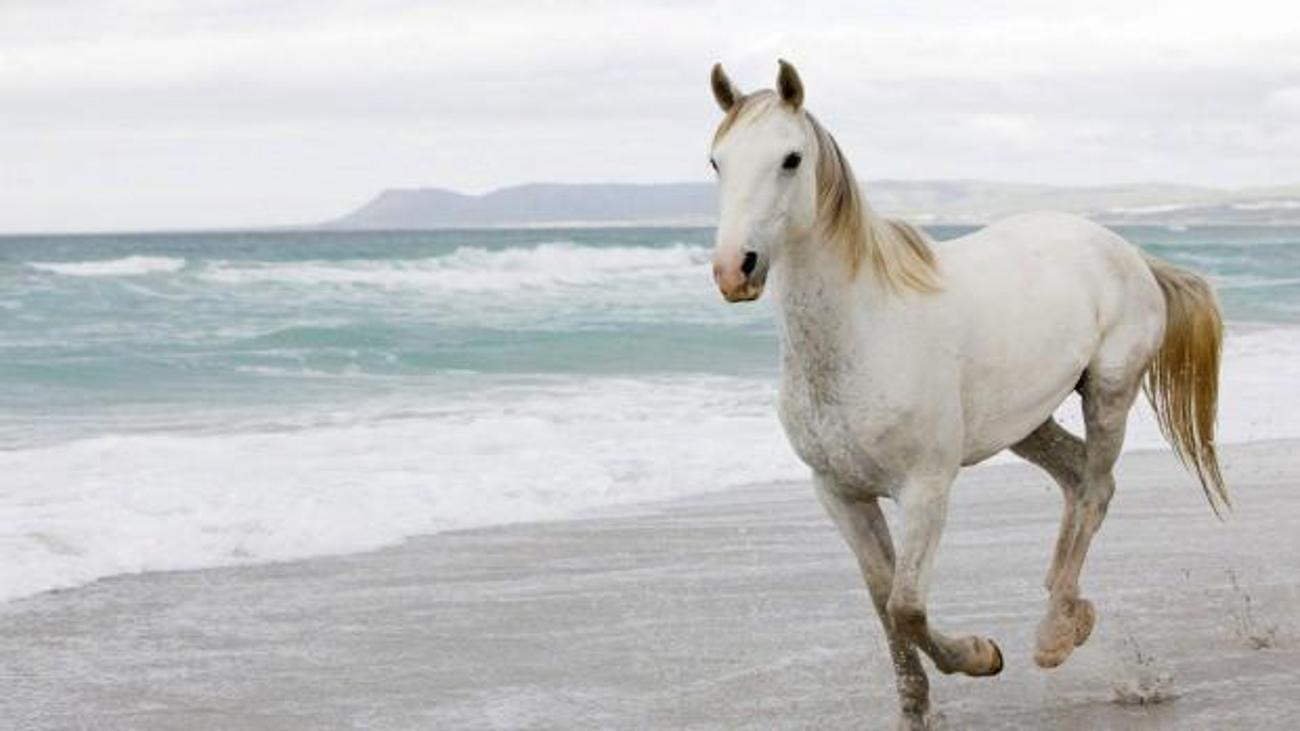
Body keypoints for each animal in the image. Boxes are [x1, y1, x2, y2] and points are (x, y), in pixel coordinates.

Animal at [712, 59, 1227, 723]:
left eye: (791, 159)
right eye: (717, 162)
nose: (735, 269)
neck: (863, 330)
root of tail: (1128, 252)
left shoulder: (926, 488)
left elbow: (906, 605)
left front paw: (982, 656)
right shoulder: (840, 493)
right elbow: (883, 601)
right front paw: (915, 708)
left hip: (1109, 392)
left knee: (1096, 488)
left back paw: (1054, 635)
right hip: (1026, 423)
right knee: (1076, 477)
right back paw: (1068, 613)